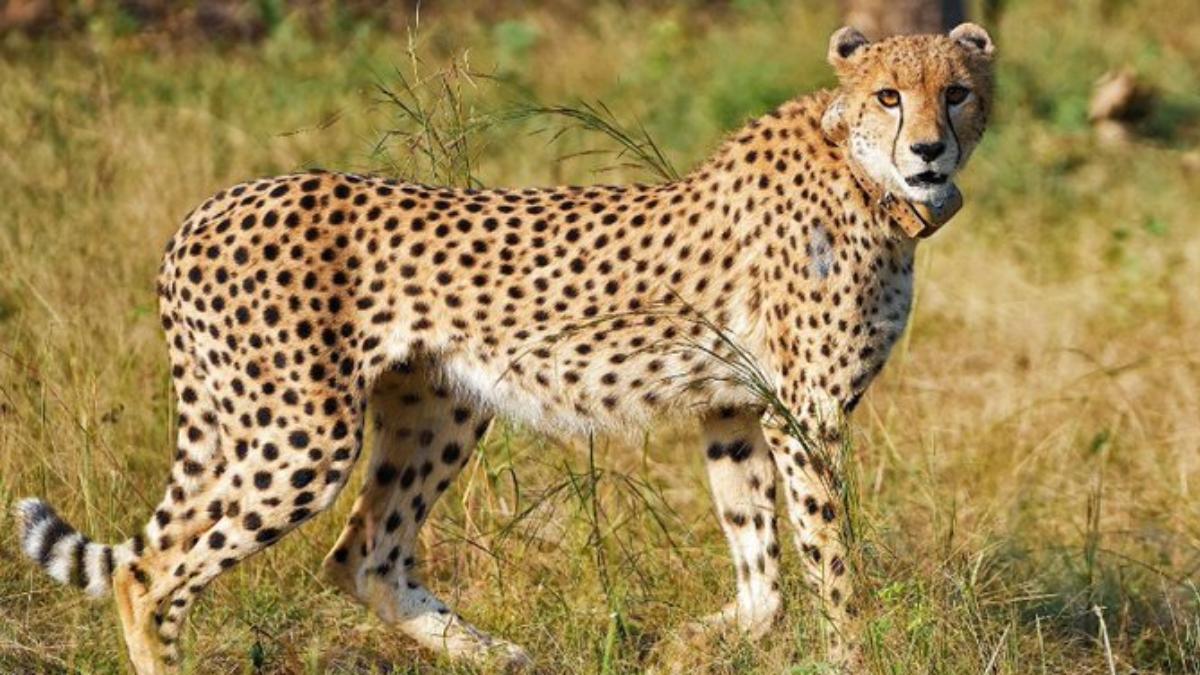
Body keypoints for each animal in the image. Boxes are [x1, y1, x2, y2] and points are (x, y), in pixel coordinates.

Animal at [16, 23, 994, 674]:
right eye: (889, 95)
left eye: (956, 92)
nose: (930, 150)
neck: (866, 177)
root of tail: (209, 207)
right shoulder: (804, 416)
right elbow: (831, 558)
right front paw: (854, 653)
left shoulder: (733, 407)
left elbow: (762, 569)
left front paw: (692, 641)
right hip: (301, 434)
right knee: (151, 574)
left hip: (434, 407)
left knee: (361, 555)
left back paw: (496, 651)